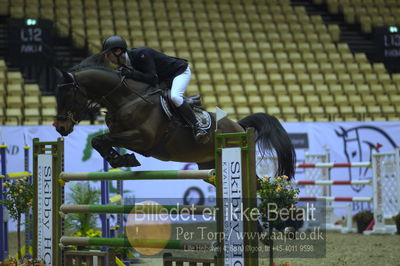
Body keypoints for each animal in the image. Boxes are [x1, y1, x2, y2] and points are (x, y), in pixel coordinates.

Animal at [54, 53, 296, 180]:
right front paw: (121, 159)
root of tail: (239, 126)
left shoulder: (142, 138)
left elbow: (101, 139)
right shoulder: (123, 134)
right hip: (208, 166)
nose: (60, 128)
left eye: (67, 95)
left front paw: (122, 159)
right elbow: (99, 141)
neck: (125, 99)